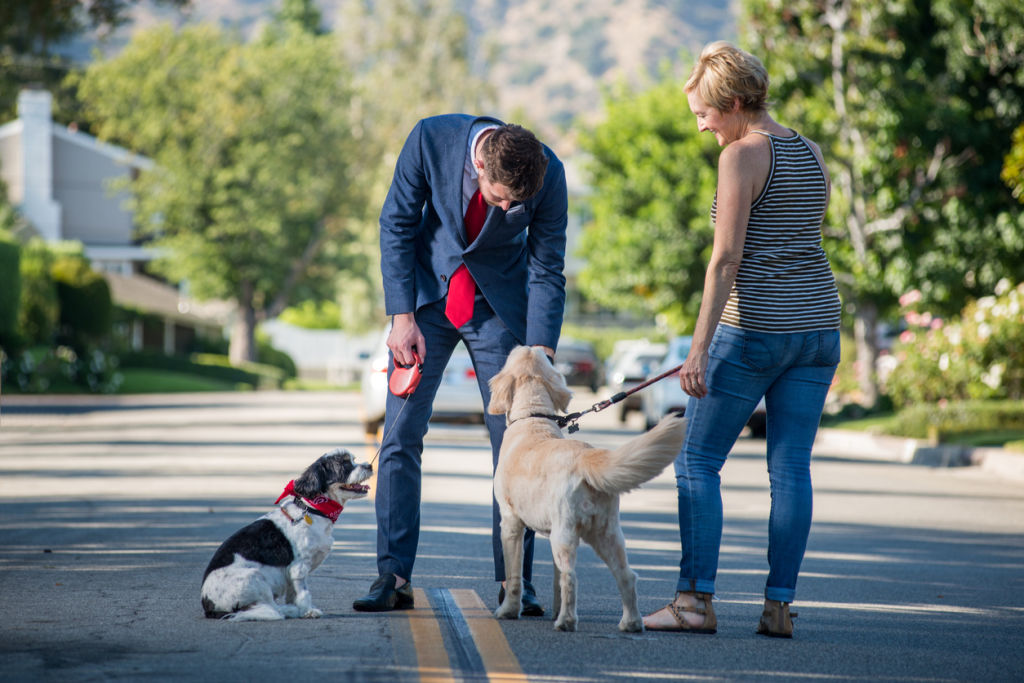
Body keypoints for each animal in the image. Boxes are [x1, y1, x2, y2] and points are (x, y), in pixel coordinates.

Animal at [199, 446, 372, 622]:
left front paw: (300, 609)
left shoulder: (290, 575)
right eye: (344, 464)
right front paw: (307, 611)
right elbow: (303, 593)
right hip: (254, 577)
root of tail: (208, 605)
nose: (369, 466)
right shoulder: (299, 568)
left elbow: (293, 594)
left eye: (354, 460)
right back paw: (289, 610)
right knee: (272, 609)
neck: (314, 509)